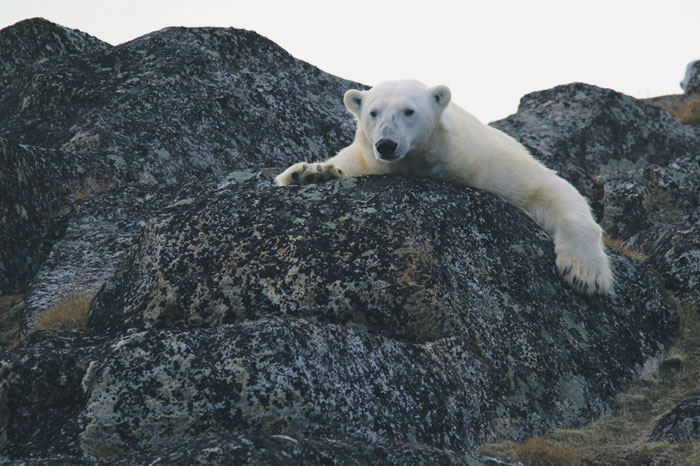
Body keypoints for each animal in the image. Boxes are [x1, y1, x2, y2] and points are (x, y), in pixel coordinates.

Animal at [274, 78, 612, 294]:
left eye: (409, 111)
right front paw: (310, 172)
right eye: (373, 112)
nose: (386, 144)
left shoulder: (483, 162)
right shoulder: (364, 159)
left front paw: (585, 274)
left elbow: (547, 186)